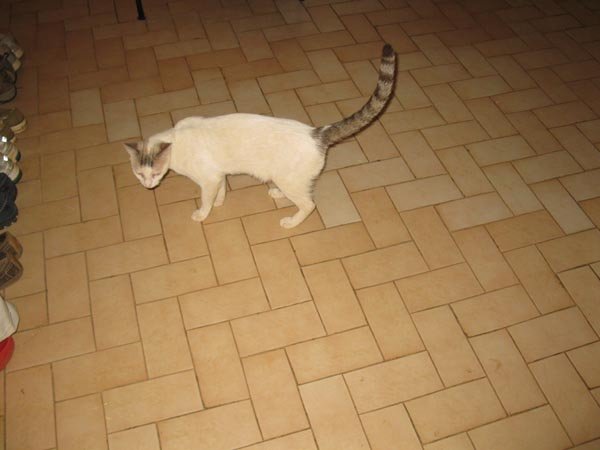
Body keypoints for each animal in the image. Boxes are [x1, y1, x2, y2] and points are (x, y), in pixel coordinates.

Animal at [124, 43, 397, 228]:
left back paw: (290, 222)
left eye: (154, 173)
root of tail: (316, 132)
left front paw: (203, 213)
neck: (177, 140)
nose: (147, 186)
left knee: (309, 204)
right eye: (138, 174)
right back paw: (277, 194)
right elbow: (221, 190)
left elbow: (206, 199)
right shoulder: (219, 174)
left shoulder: (208, 178)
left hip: (290, 180)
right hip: (288, 179)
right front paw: (220, 202)